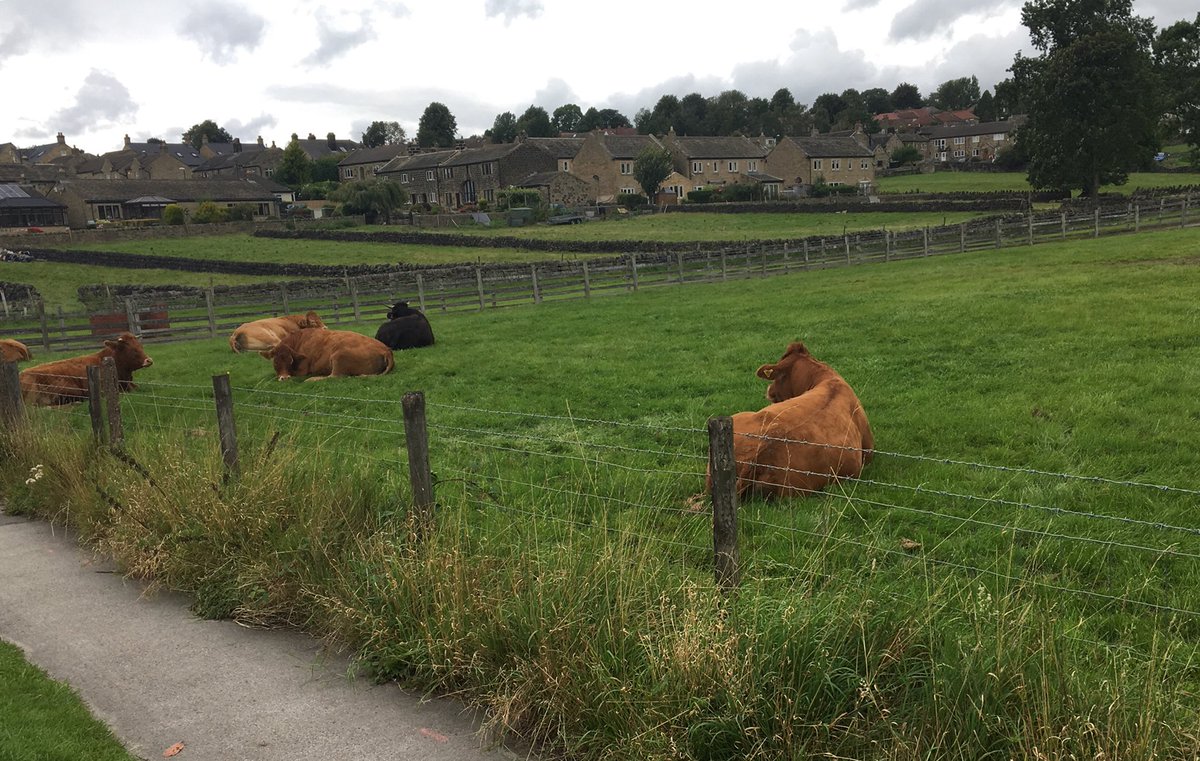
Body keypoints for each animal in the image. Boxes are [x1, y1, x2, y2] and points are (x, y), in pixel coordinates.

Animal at [260, 328, 394, 381]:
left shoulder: (302, 370)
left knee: (334, 377)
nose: (285, 378)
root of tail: (386, 350)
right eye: (275, 362)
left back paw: (312, 379)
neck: (298, 340)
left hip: (338, 356)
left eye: (290, 361)